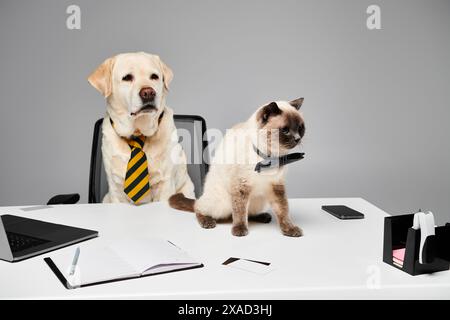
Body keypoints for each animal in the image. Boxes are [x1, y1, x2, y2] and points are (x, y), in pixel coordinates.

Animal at [87, 51, 193, 204]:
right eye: (127, 78)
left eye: (154, 76)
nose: (148, 92)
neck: (138, 133)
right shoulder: (116, 190)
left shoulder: (165, 184)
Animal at [169, 99, 306, 236]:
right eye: (285, 130)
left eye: (300, 128)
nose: (297, 139)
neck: (270, 157)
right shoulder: (241, 185)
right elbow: (240, 211)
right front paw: (239, 230)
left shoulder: (276, 186)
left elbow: (283, 209)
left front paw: (290, 229)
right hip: (221, 203)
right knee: (200, 207)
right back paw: (208, 222)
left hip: (260, 200)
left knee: (248, 213)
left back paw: (263, 216)